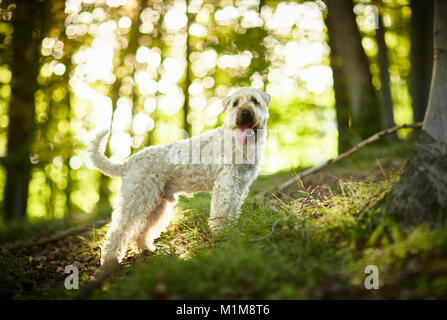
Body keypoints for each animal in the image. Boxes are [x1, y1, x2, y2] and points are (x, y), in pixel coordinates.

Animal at [87, 87, 270, 264]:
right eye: (235, 103)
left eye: (255, 100)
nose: (245, 113)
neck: (241, 144)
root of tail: (127, 163)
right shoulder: (226, 185)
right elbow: (222, 212)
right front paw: (222, 233)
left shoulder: (239, 186)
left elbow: (232, 210)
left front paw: (231, 230)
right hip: (136, 200)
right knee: (118, 230)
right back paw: (110, 259)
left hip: (156, 205)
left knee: (141, 230)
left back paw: (146, 248)